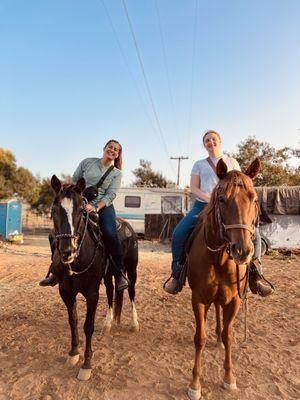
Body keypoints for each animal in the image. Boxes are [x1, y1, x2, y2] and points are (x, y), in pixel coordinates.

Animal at [188, 158, 260, 398]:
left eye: (254, 198)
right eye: (221, 199)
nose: (242, 251)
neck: (218, 258)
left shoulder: (235, 300)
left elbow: (229, 337)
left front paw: (229, 378)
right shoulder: (198, 299)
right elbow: (199, 338)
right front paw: (195, 384)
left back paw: (218, 338)